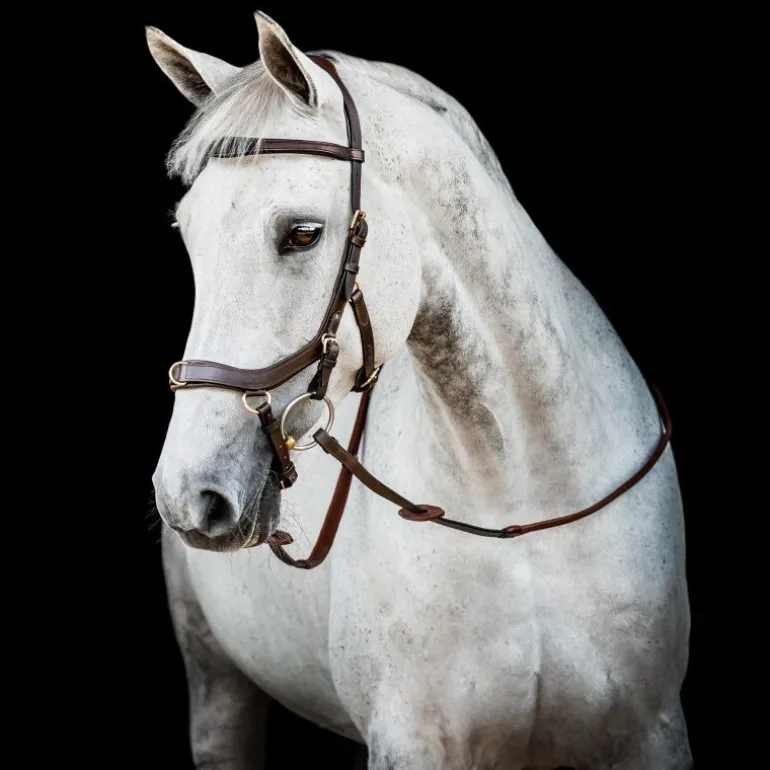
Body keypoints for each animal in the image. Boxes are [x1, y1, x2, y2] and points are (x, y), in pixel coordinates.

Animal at [147, 11, 692, 770]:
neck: (518, 508)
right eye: (188, 233)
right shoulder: (411, 743)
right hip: (216, 682)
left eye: (302, 234)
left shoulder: (652, 733)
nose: (188, 493)